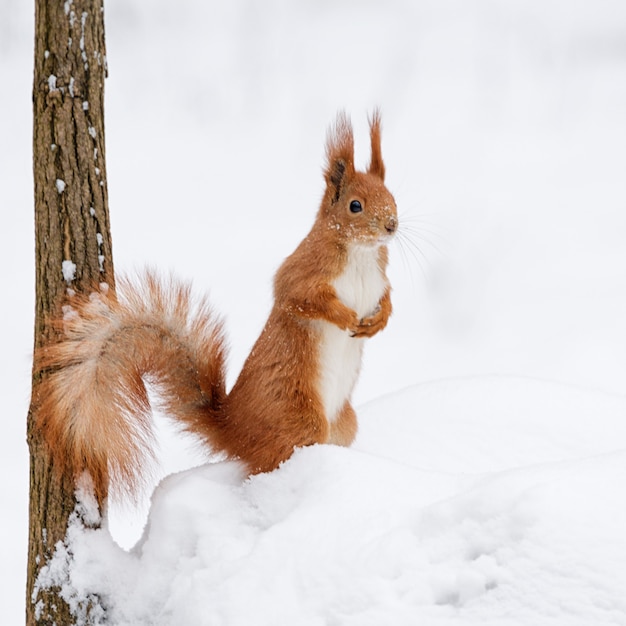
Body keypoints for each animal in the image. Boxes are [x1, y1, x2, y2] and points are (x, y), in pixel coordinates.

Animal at [35, 108, 394, 498]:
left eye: (391, 195)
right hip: (301, 419)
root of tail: (233, 428)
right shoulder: (302, 272)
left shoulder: (380, 280)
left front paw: (378, 323)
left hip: (344, 422)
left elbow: (387, 300)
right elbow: (301, 298)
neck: (361, 254)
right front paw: (346, 318)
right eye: (355, 205)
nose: (392, 225)